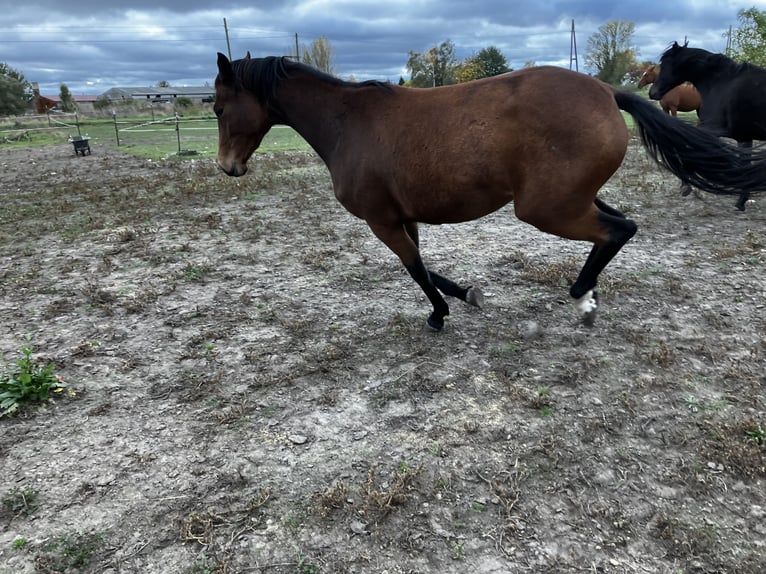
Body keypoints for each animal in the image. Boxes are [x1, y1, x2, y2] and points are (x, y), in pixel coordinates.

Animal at [652, 42, 766, 212]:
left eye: (664, 64)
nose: (652, 92)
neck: (721, 84)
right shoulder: (743, 137)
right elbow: (744, 166)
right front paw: (741, 201)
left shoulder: (714, 129)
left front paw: (686, 186)